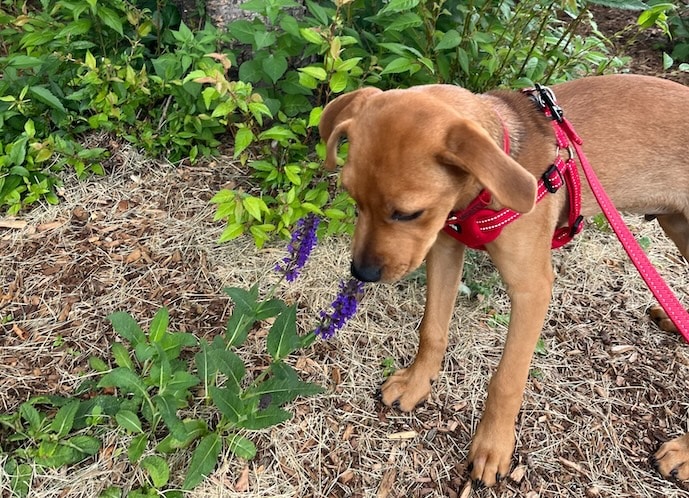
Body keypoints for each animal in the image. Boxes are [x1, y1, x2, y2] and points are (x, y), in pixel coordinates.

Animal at [320, 74, 688, 486]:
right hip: (678, 225)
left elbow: (507, 380)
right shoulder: (444, 247)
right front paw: (417, 381)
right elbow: (432, 330)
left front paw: (493, 445)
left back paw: (683, 452)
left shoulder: (532, 288)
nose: (361, 273)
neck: (479, 195)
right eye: (353, 198)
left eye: (407, 213)